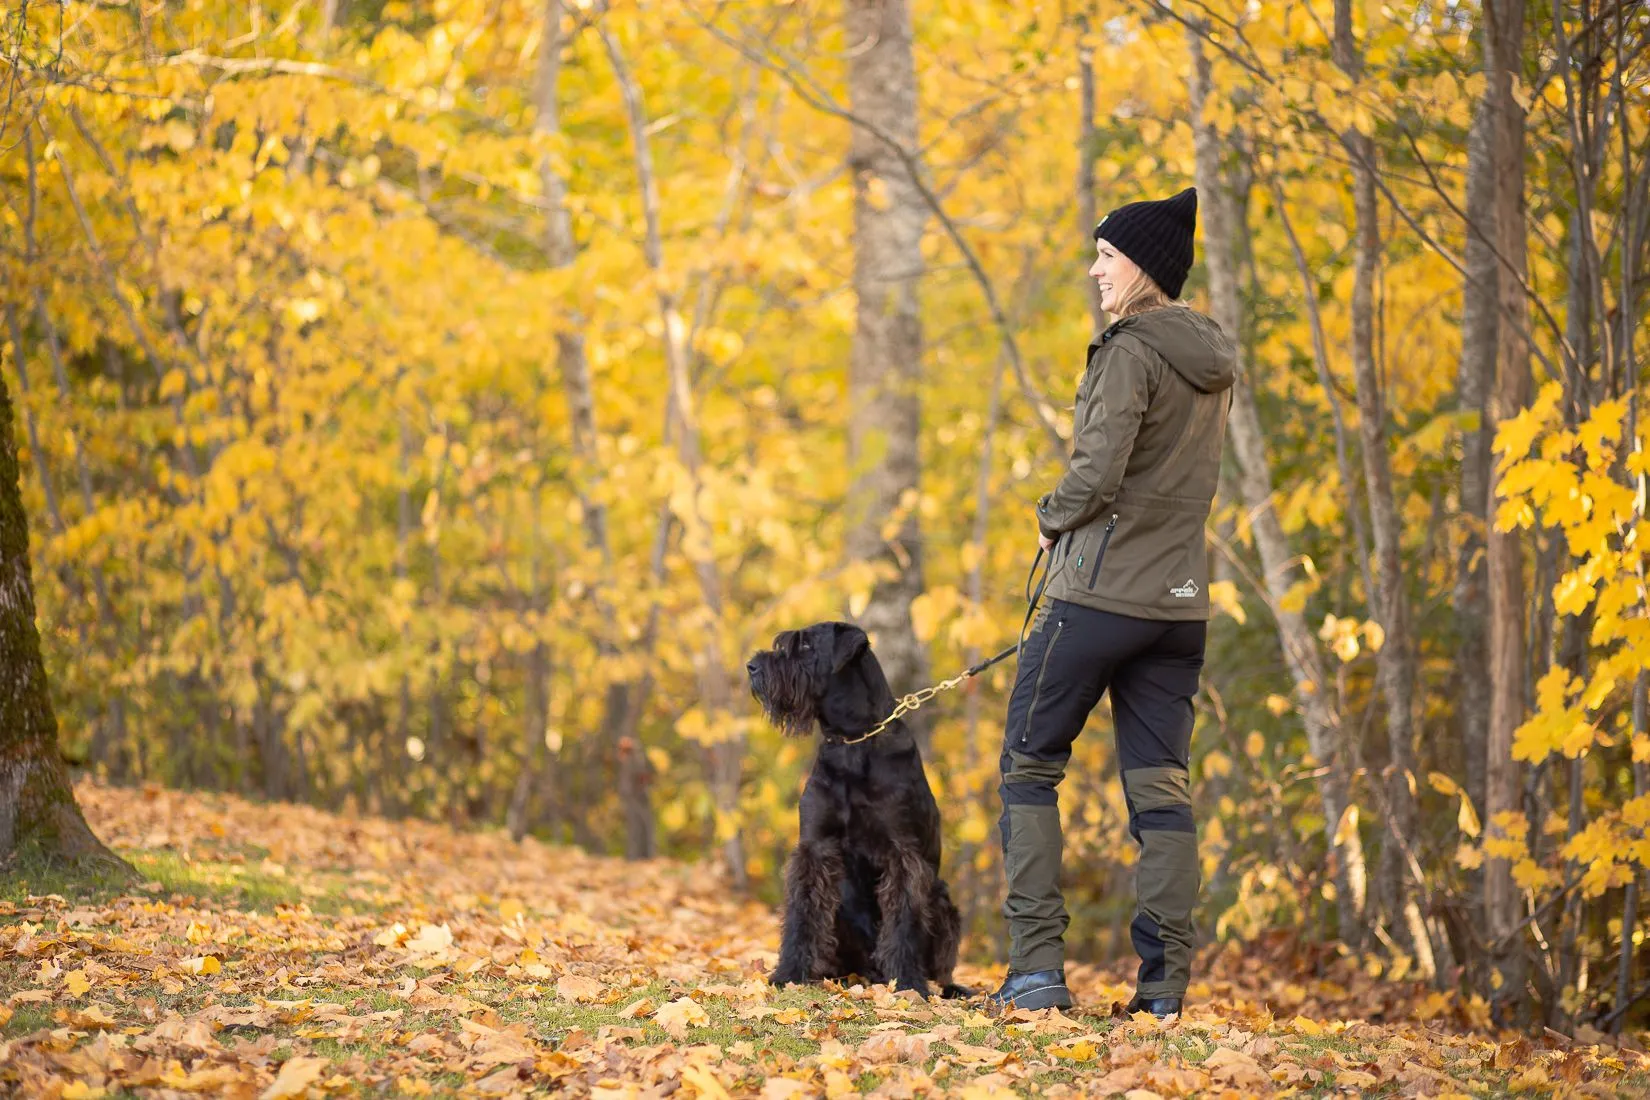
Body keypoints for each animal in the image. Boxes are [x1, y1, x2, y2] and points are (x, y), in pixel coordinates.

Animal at [749, 620, 963, 996]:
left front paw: (908, 983)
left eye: (806, 646)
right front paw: (788, 973)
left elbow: (904, 920)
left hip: (944, 904)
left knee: (942, 968)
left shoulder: (903, 856)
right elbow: (802, 912)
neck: (852, 740)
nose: (752, 667)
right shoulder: (815, 848)